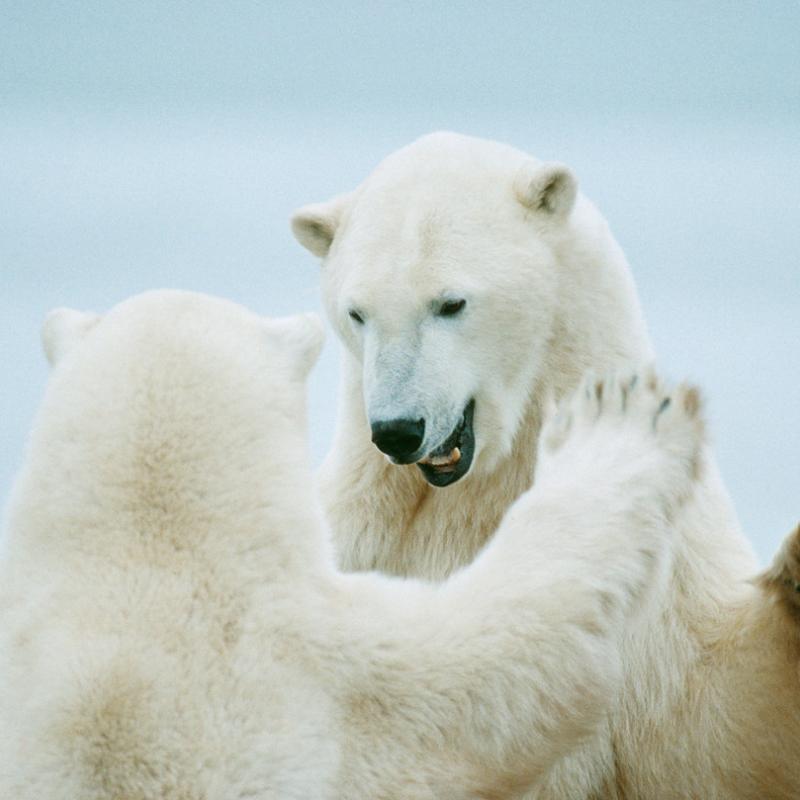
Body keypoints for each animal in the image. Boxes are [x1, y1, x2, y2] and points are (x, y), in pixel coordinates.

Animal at [291, 132, 800, 798]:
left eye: (450, 303)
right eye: (356, 312)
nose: (399, 430)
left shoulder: (663, 593)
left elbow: (712, 727)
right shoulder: (353, 537)